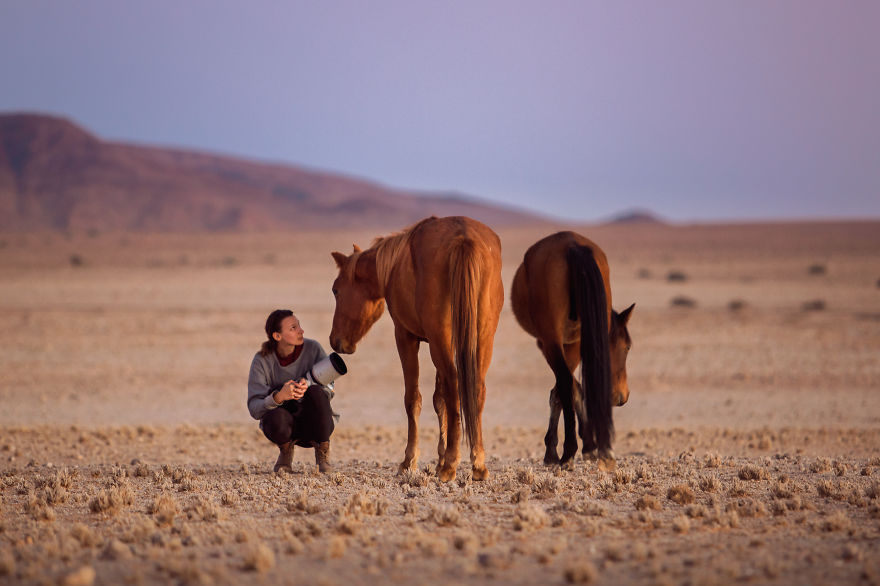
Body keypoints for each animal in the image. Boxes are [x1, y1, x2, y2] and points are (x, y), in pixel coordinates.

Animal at [328, 214, 502, 480]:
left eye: (336, 290)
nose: (335, 341)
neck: (393, 265)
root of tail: (464, 239)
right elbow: (439, 400)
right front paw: (439, 458)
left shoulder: (405, 336)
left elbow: (413, 399)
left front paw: (410, 461)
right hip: (482, 338)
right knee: (476, 389)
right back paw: (478, 464)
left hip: (440, 339)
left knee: (455, 388)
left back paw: (451, 464)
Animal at [508, 230, 632, 468]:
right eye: (628, 347)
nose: (622, 396)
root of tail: (572, 246)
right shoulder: (564, 344)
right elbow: (569, 389)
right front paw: (583, 445)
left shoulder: (557, 344)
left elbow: (564, 390)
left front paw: (555, 449)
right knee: (569, 384)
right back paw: (573, 451)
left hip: (555, 342)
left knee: (566, 384)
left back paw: (570, 451)